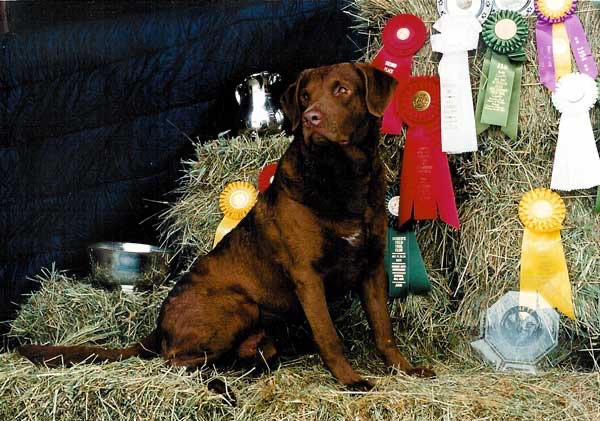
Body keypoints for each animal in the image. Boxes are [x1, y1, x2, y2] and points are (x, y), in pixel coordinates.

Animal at [18, 61, 434, 388]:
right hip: (238, 305)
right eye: (304, 97)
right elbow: (329, 336)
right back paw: (212, 379)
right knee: (174, 360)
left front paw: (405, 369)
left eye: (342, 90)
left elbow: (384, 331)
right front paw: (351, 380)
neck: (342, 179)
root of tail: (158, 326)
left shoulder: (372, 267)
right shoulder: (307, 276)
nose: (311, 119)